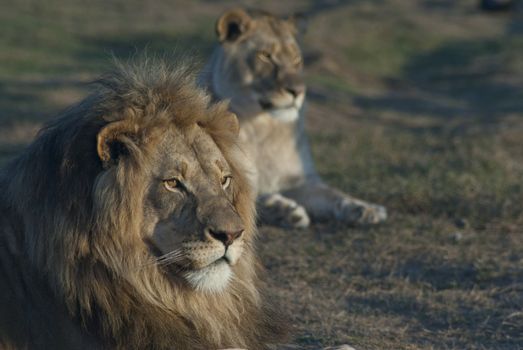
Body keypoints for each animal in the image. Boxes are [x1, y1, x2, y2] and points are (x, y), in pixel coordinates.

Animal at [202, 8, 388, 230]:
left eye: (297, 59)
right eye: (265, 56)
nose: (298, 91)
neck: (264, 128)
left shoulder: (300, 181)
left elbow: (334, 195)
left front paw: (365, 208)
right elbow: (251, 198)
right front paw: (284, 209)